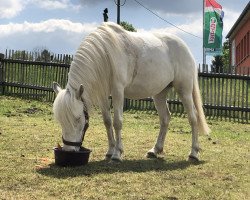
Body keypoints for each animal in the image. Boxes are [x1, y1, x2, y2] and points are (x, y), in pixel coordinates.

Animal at [53, 21, 211, 162]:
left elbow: (117, 122)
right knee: (165, 118)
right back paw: (155, 150)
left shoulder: (118, 91)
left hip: (184, 90)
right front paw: (110, 151)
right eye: (60, 120)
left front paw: (117, 154)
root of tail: (185, 48)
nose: (68, 150)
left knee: (193, 118)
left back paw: (193, 153)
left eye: (78, 119)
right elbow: (107, 121)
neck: (105, 54)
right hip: (159, 93)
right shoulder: (103, 95)